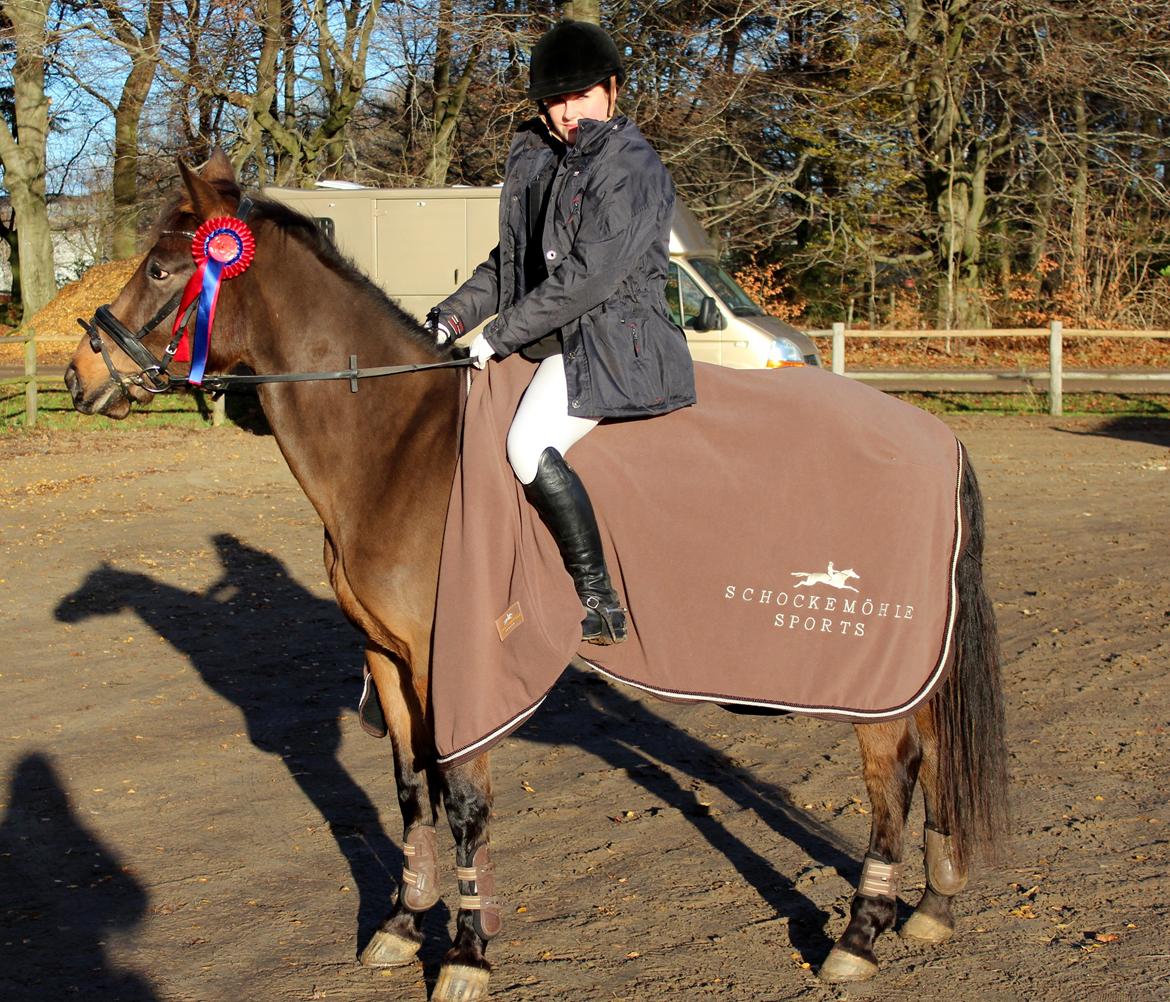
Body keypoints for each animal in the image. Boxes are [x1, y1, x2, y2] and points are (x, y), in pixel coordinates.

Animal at [64, 152, 1010, 997]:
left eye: (160, 267)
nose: (79, 374)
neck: (395, 445)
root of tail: (938, 436)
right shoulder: (386, 658)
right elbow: (409, 790)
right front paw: (402, 925)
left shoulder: (453, 658)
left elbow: (463, 797)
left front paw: (468, 955)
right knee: (932, 755)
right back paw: (931, 907)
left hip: (874, 668)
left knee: (894, 773)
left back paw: (860, 936)